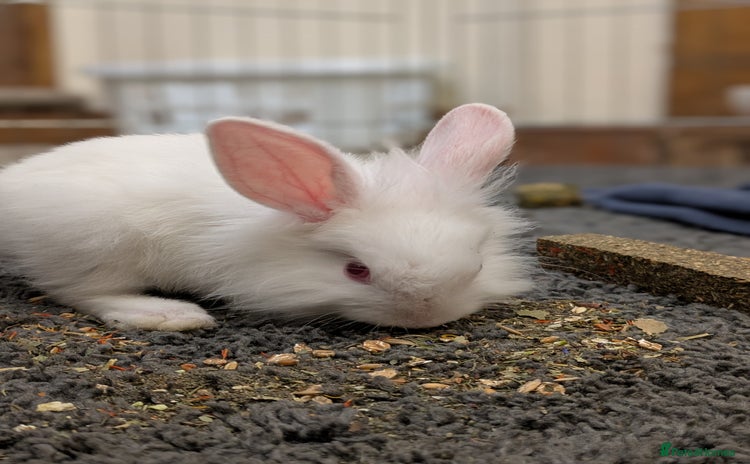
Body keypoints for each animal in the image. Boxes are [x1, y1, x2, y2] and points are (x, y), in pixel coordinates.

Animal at [0, 103, 531, 331]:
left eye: (477, 265)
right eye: (355, 271)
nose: (425, 319)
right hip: (98, 246)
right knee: (81, 291)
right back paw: (169, 315)